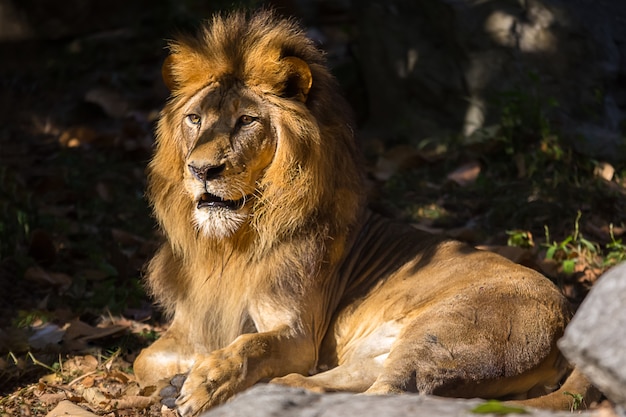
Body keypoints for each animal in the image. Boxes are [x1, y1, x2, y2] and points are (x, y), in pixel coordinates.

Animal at [135, 9, 596, 416]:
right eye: (195, 119)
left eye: (247, 121)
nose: (201, 170)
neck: (231, 242)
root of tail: (571, 317)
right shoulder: (193, 324)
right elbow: (142, 361)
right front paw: (175, 382)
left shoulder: (299, 334)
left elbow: (250, 345)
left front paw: (204, 383)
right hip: (377, 352)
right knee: (329, 384)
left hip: (442, 334)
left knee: (391, 395)